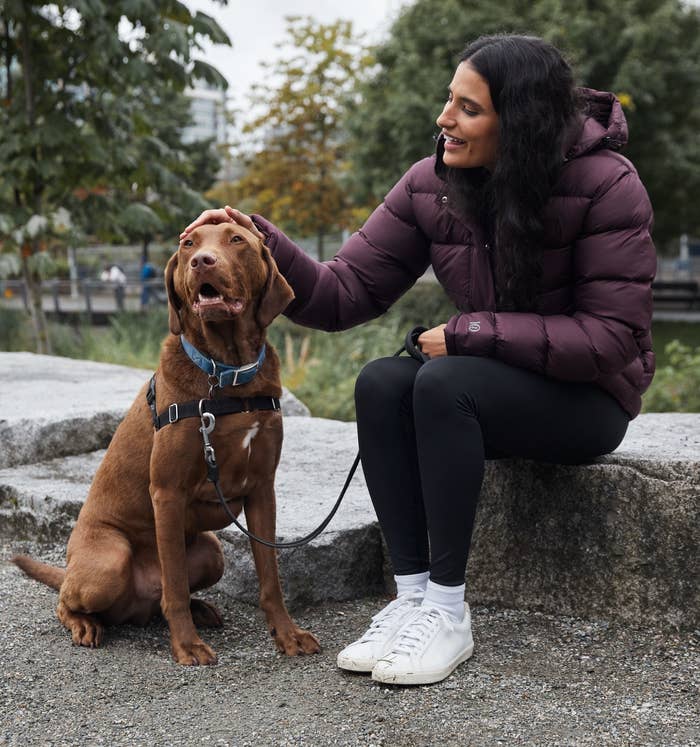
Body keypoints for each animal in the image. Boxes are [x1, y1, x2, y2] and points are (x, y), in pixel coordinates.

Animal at [13, 224, 322, 668]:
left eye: (236, 239)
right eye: (188, 244)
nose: (202, 262)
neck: (227, 373)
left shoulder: (263, 489)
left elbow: (270, 578)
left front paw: (287, 634)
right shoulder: (168, 493)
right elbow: (174, 584)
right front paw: (187, 645)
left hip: (212, 551)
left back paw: (200, 608)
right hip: (108, 563)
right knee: (73, 599)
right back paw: (85, 623)